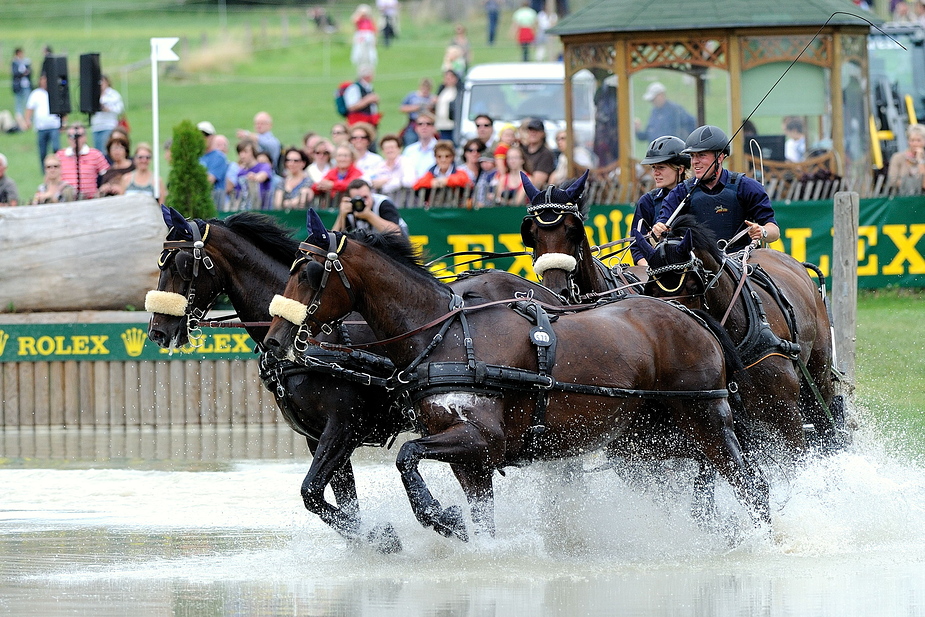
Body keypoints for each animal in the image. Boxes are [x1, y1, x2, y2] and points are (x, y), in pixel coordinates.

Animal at [146, 206, 564, 548]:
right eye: (159, 262)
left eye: (179, 265)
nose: (158, 331)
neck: (316, 338)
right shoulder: (319, 437)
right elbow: (336, 499)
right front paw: (369, 539)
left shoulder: (342, 427)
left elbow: (311, 492)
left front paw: (383, 536)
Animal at [264, 209, 768, 540]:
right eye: (290, 268)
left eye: (309, 273)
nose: (273, 341)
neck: (446, 334)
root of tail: (690, 315)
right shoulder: (471, 461)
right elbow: (478, 514)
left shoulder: (477, 437)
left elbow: (406, 456)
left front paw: (439, 516)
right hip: (649, 437)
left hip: (706, 419)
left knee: (751, 482)